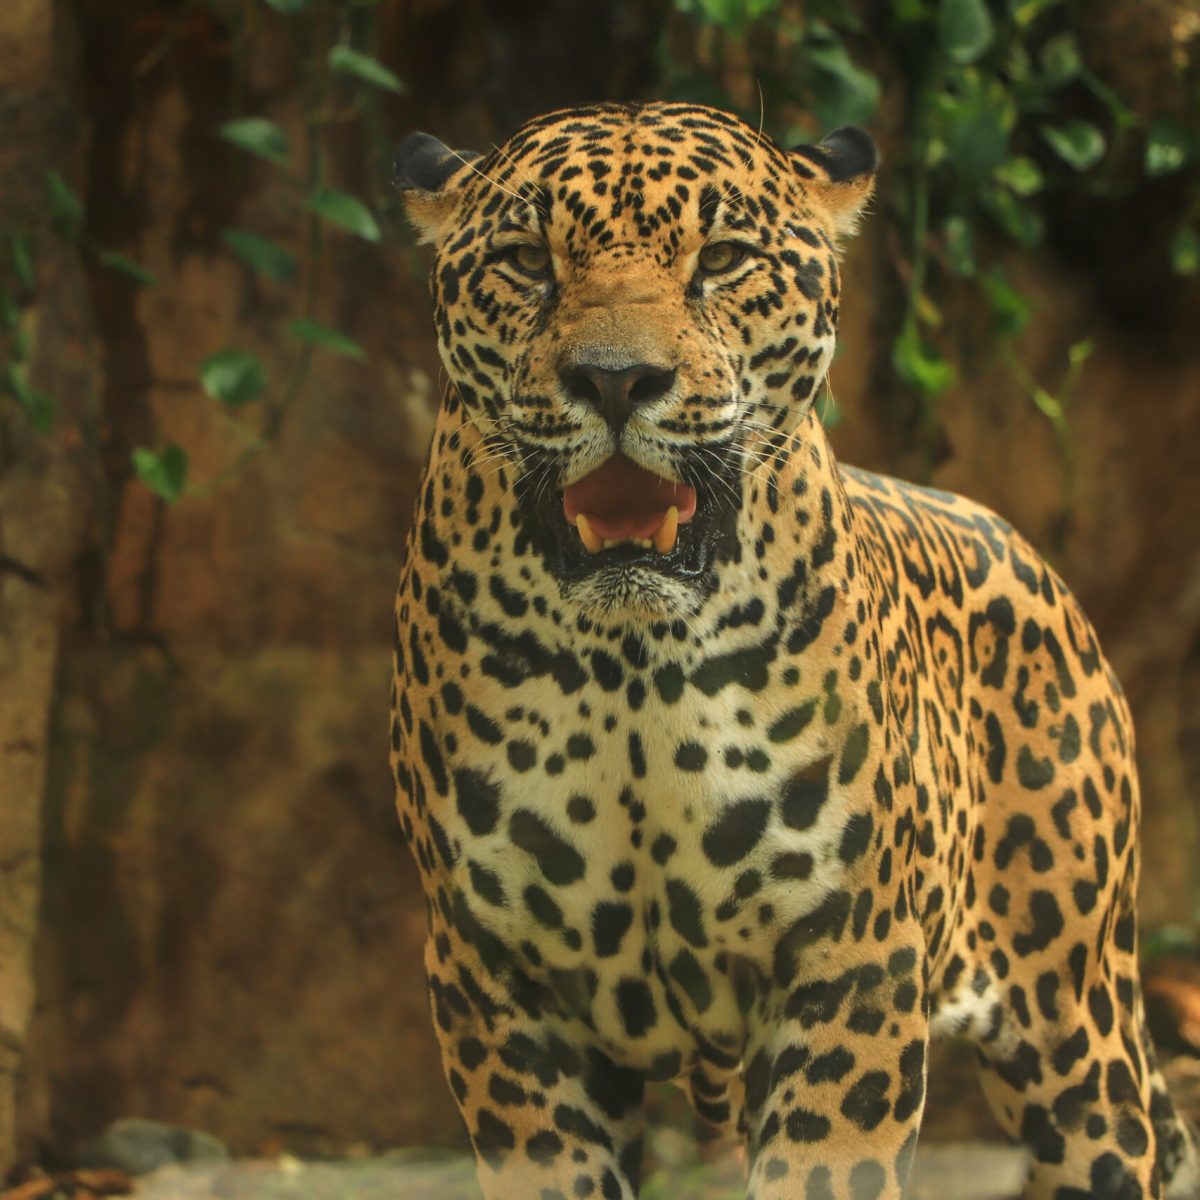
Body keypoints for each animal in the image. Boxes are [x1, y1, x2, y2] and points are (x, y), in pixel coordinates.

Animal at [388, 100, 1200, 1199]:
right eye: (525, 262)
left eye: (723, 259)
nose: (615, 381)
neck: (629, 666)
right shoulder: (494, 975)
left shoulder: (850, 956)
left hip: (1078, 1029)